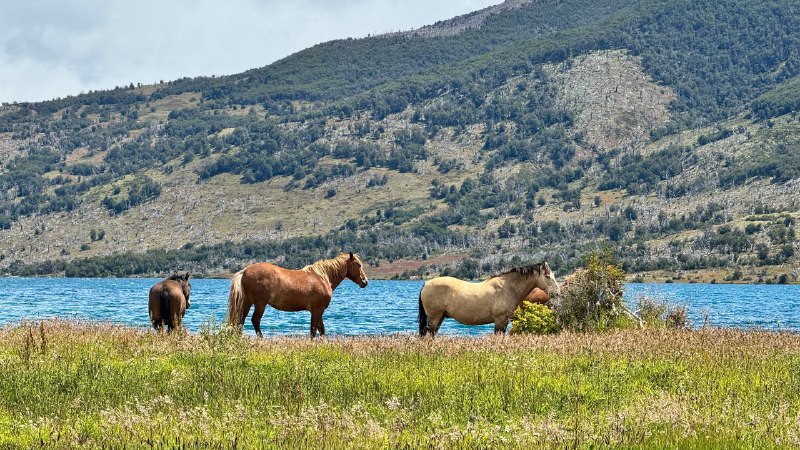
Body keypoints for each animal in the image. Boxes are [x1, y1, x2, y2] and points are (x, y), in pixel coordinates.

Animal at [227, 252, 368, 337]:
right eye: (358, 264)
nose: (365, 282)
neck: (322, 277)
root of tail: (244, 271)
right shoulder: (316, 310)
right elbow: (313, 330)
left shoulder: (319, 311)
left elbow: (321, 330)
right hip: (260, 304)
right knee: (255, 320)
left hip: (247, 302)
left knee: (240, 319)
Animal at [418, 261, 560, 336]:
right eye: (547, 276)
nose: (557, 292)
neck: (507, 288)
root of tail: (426, 283)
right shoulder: (500, 320)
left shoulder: (504, 321)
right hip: (434, 317)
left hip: (440, 317)